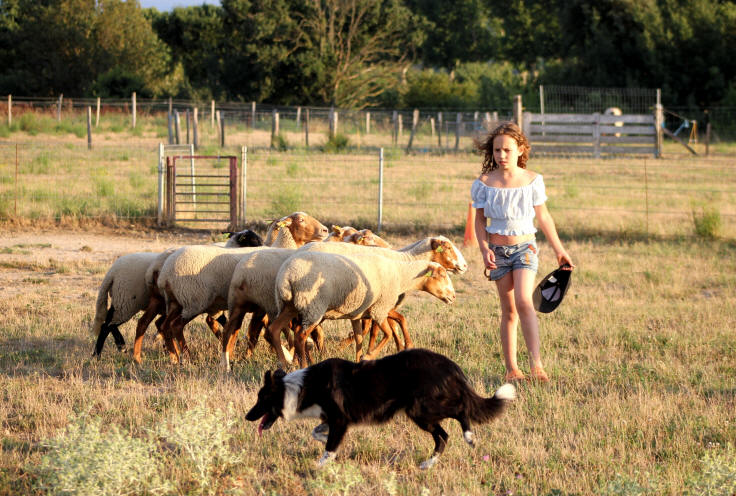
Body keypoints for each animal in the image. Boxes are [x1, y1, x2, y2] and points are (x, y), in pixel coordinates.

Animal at [159, 211, 328, 362]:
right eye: (301, 219)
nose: (325, 230)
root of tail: (165, 273)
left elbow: (256, 331)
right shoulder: (268, 303)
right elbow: (263, 331)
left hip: (177, 302)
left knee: (165, 326)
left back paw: (174, 356)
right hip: (194, 300)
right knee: (176, 326)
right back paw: (187, 356)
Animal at [244, 346, 516, 466]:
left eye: (261, 399)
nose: (247, 417)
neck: (303, 387)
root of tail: (450, 366)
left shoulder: (340, 419)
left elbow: (329, 448)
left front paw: (321, 465)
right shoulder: (333, 419)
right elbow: (317, 432)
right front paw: (324, 442)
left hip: (421, 409)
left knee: (459, 412)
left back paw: (468, 436)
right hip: (423, 412)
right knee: (444, 435)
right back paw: (429, 463)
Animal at [268, 252, 454, 368]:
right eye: (442, 275)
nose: (453, 296)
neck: (400, 275)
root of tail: (285, 276)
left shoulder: (361, 313)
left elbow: (359, 338)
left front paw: (359, 361)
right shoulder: (380, 308)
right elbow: (387, 334)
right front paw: (368, 356)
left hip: (289, 305)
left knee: (274, 329)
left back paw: (283, 363)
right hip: (313, 307)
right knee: (300, 336)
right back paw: (304, 364)